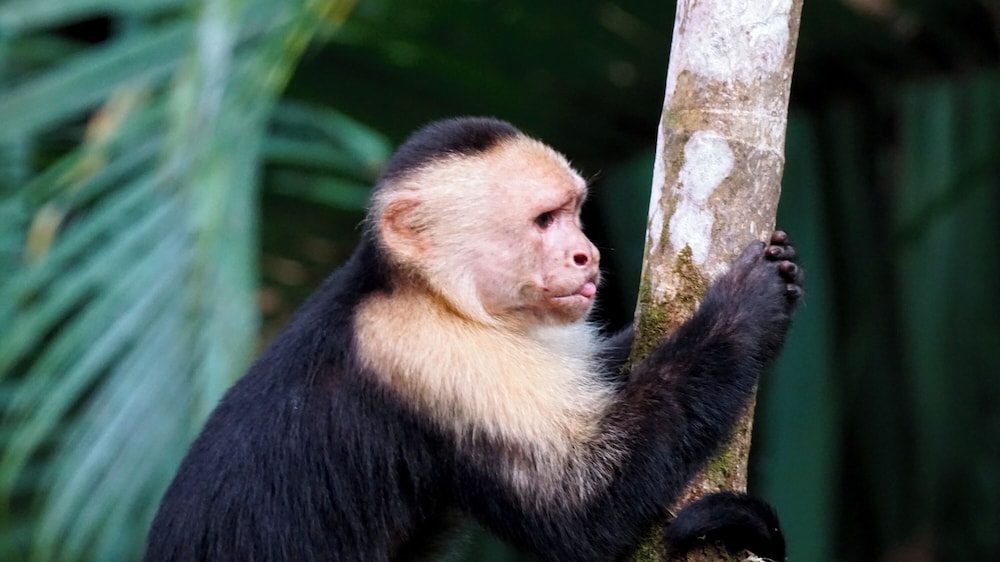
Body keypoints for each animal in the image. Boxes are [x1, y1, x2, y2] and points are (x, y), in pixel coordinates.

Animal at [144, 117, 801, 562]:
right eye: (544, 221)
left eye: (575, 212)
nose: (587, 254)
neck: (424, 291)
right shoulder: (430, 348)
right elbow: (580, 510)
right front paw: (744, 308)